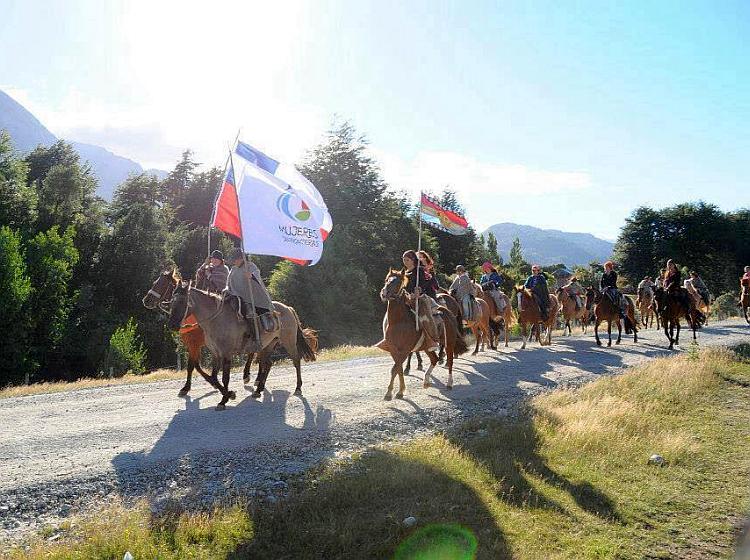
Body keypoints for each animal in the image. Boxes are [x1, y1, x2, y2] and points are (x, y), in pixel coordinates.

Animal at [376, 270, 470, 400]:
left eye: (398, 282)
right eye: (387, 280)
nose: (384, 293)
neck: (398, 321)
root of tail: (449, 312)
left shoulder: (405, 350)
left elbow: (395, 369)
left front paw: (390, 393)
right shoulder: (394, 350)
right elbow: (398, 369)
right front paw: (400, 390)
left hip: (449, 343)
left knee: (450, 360)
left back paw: (449, 383)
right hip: (427, 346)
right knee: (434, 359)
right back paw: (426, 381)